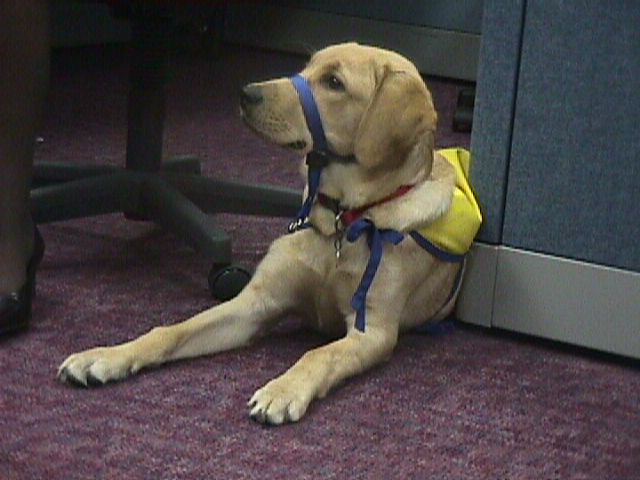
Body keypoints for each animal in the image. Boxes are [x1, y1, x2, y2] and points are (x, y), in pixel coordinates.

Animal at [58, 42, 480, 424]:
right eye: (308, 66)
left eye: (334, 82)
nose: (245, 93)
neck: (339, 220)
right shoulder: (254, 303)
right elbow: (170, 330)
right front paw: (107, 355)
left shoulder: (371, 332)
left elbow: (319, 353)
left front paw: (284, 389)